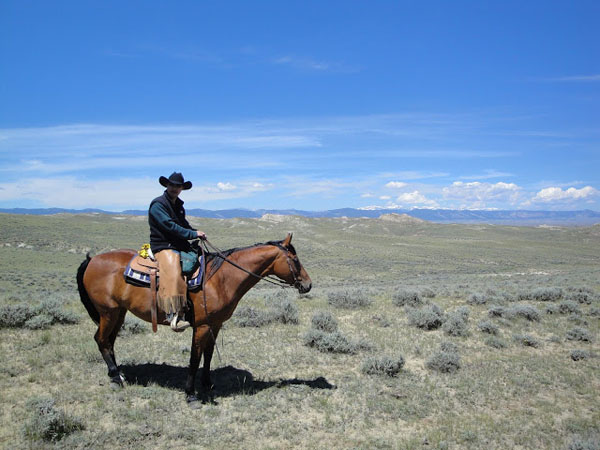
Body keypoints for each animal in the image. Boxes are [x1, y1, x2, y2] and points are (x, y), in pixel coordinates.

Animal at [75, 234, 312, 402]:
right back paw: (116, 377)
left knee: (110, 342)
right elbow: (194, 358)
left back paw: (119, 374)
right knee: (101, 340)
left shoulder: (215, 324)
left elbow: (208, 355)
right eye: (295, 259)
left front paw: (207, 384)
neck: (221, 278)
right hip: (108, 312)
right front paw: (190, 393)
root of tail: (91, 260)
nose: (308, 285)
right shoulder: (202, 325)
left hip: (119, 313)